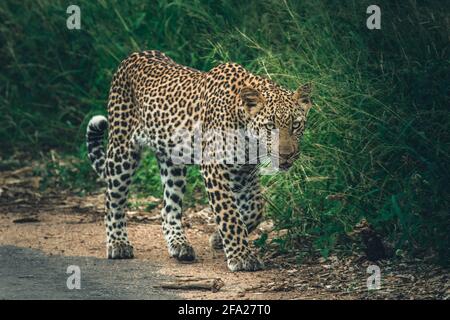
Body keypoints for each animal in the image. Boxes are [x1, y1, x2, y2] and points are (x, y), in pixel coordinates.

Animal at [86, 49, 312, 270]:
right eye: (269, 126)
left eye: (296, 125)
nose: (286, 154)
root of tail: (132, 56)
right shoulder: (215, 168)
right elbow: (230, 214)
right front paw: (241, 256)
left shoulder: (244, 173)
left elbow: (255, 208)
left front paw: (218, 239)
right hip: (122, 150)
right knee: (113, 199)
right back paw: (118, 244)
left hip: (173, 163)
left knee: (168, 208)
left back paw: (179, 245)